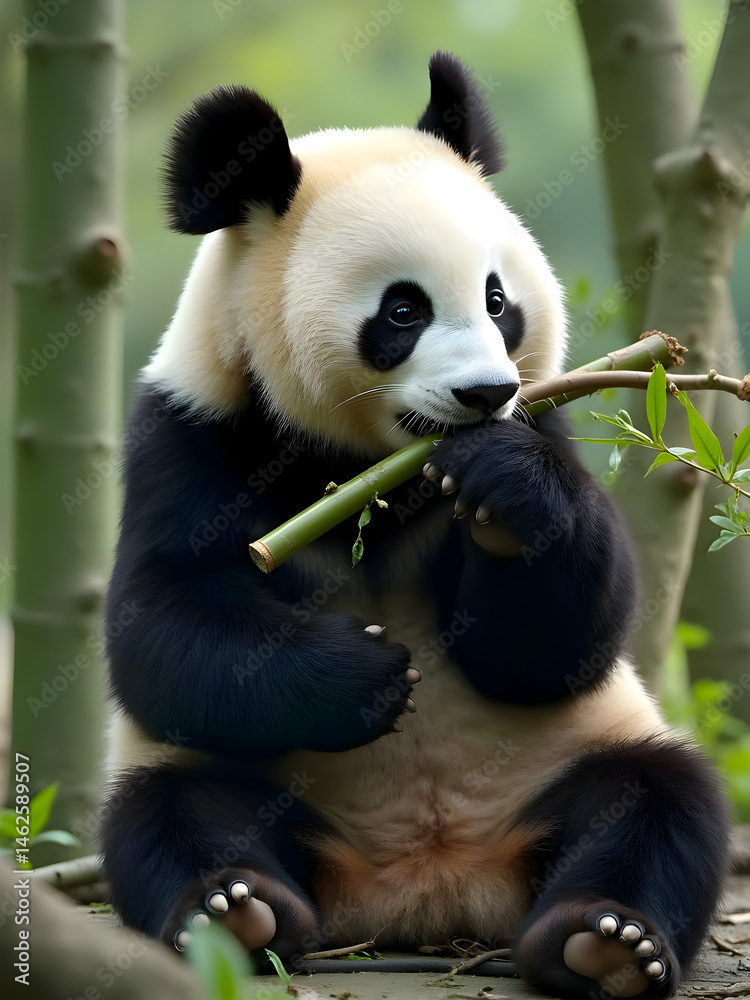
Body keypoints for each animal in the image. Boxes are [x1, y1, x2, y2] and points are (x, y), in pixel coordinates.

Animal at [102, 51, 728, 1000]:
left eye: (498, 299)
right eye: (403, 311)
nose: (484, 393)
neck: (374, 470)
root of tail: (431, 889)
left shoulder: (543, 421)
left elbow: (560, 646)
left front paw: (503, 493)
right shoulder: (192, 434)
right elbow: (161, 625)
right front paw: (366, 674)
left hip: (576, 751)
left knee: (660, 799)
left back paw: (606, 940)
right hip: (237, 781)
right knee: (168, 812)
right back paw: (236, 912)